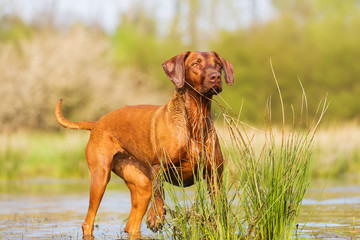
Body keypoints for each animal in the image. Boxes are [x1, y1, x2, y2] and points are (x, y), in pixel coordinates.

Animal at [53, 51, 233, 236]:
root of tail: (96, 123)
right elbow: (159, 193)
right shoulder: (159, 166)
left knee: (131, 225)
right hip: (100, 177)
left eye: (217, 64)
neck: (195, 120)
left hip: (141, 185)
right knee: (88, 222)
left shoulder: (214, 175)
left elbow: (220, 206)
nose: (215, 76)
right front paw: (156, 216)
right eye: (195, 64)